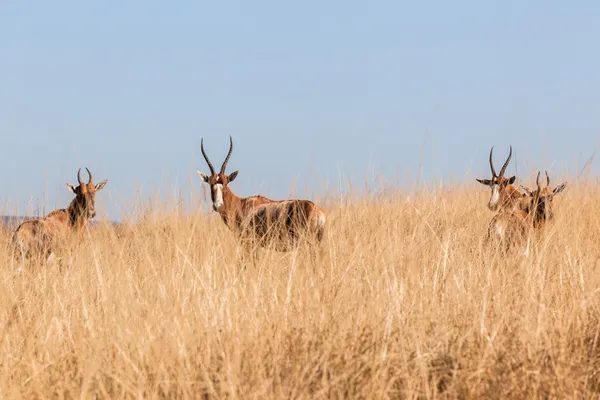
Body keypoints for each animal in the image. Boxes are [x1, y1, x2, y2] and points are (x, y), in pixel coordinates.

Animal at [199, 136, 326, 264]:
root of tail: (318, 212)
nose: (218, 205)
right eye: (211, 184)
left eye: (225, 183)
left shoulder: (251, 244)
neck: (241, 204)